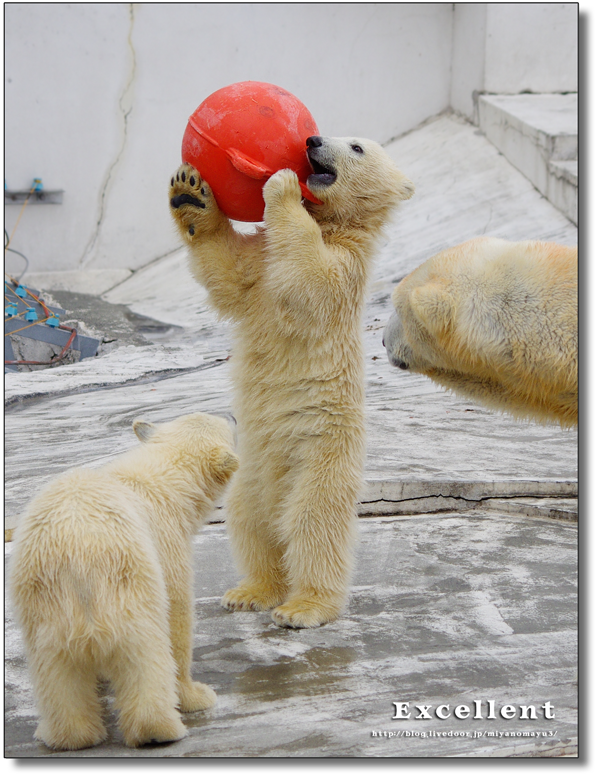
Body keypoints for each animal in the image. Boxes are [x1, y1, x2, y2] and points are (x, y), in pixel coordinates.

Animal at [9, 416, 239, 748]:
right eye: (226, 425)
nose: (233, 417)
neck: (162, 479)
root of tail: (76, 555)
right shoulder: (165, 544)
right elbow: (177, 616)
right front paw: (196, 695)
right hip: (127, 579)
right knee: (145, 651)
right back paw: (157, 729)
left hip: (41, 600)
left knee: (54, 669)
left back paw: (69, 734)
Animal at [168, 135, 412, 632]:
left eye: (356, 146)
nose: (312, 140)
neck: (333, 224)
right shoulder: (260, 265)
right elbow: (229, 271)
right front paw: (190, 190)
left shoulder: (346, 270)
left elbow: (310, 278)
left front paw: (279, 186)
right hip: (250, 467)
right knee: (250, 520)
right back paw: (252, 592)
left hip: (321, 453)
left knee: (312, 523)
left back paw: (303, 607)